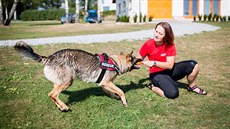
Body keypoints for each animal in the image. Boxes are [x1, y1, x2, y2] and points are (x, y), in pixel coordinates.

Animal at [14, 41, 142, 112]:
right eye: (135, 59)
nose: (141, 58)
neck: (116, 62)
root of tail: (49, 57)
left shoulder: (103, 84)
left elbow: (111, 92)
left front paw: (115, 97)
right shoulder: (107, 83)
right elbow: (121, 91)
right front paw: (124, 102)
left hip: (59, 83)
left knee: (52, 95)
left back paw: (61, 106)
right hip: (67, 82)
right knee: (52, 94)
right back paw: (64, 107)